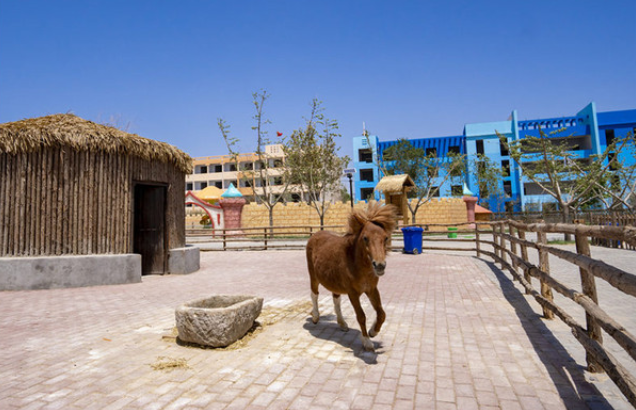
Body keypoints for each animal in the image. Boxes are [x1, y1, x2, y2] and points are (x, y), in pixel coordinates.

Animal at [304, 203, 398, 350]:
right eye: (365, 238)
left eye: (385, 238)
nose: (379, 265)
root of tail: (316, 235)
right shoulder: (353, 293)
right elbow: (361, 316)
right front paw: (367, 341)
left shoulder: (371, 289)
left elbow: (381, 313)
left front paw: (373, 331)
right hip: (313, 276)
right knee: (314, 294)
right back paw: (315, 317)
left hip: (334, 282)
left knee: (336, 299)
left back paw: (342, 324)